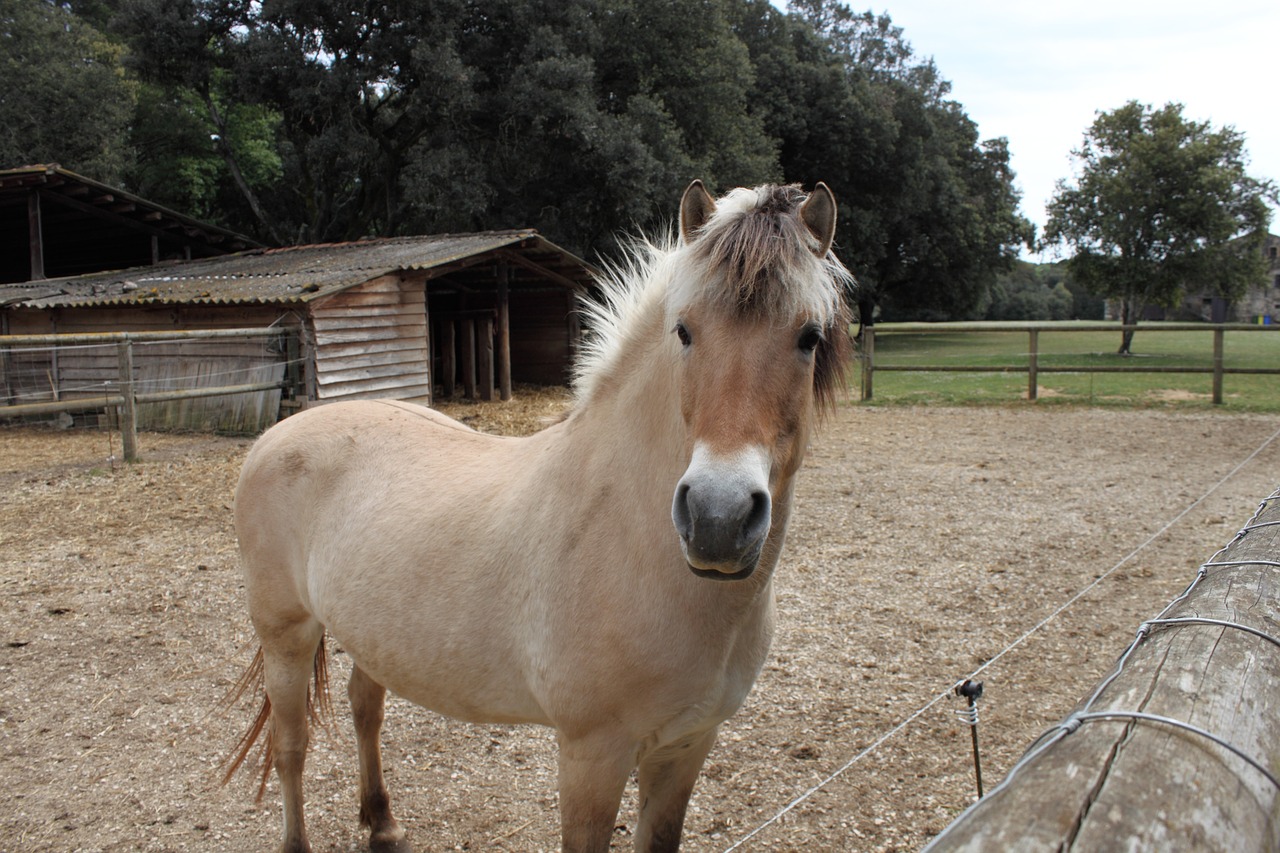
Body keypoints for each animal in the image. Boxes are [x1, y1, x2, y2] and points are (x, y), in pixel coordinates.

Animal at [225, 178, 855, 845]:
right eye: (683, 331)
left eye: (809, 337)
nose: (718, 519)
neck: (631, 540)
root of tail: (276, 434)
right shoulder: (592, 756)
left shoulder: (686, 747)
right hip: (285, 634)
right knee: (290, 747)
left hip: (370, 631)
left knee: (364, 706)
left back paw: (384, 824)